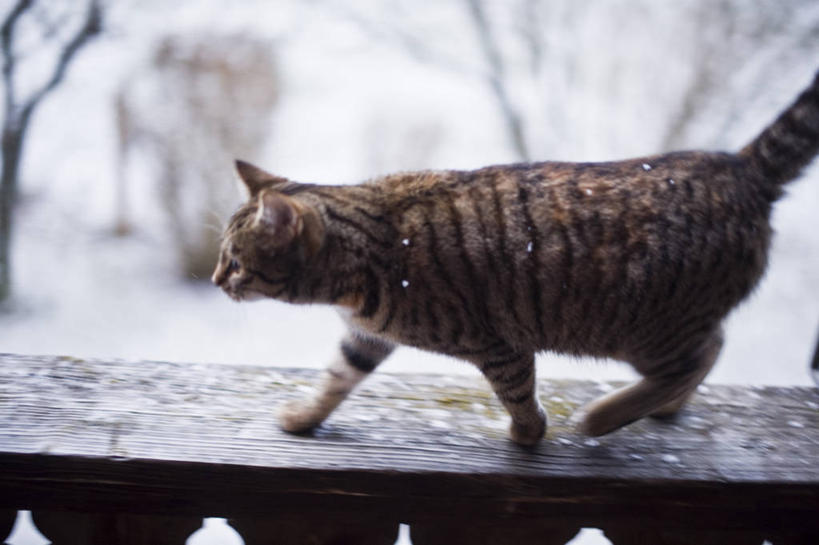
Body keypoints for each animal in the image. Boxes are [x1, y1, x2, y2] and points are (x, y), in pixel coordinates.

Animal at [213, 69, 819, 442]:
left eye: (237, 262)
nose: (217, 279)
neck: (371, 242)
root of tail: (740, 167)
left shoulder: (500, 346)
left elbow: (518, 396)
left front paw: (528, 435)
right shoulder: (365, 337)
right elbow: (336, 379)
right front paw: (303, 417)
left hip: (645, 332)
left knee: (705, 352)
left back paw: (607, 416)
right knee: (700, 358)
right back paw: (655, 407)